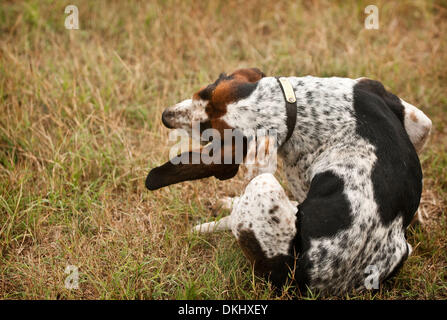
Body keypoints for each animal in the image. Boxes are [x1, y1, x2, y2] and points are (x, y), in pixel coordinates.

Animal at [146, 68, 430, 296]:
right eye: (204, 92)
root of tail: (303, 273)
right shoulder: (416, 120)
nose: (165, 117)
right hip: (403, 249)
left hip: (263, 185)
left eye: (203, 128)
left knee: (243, 208)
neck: (292, 111)